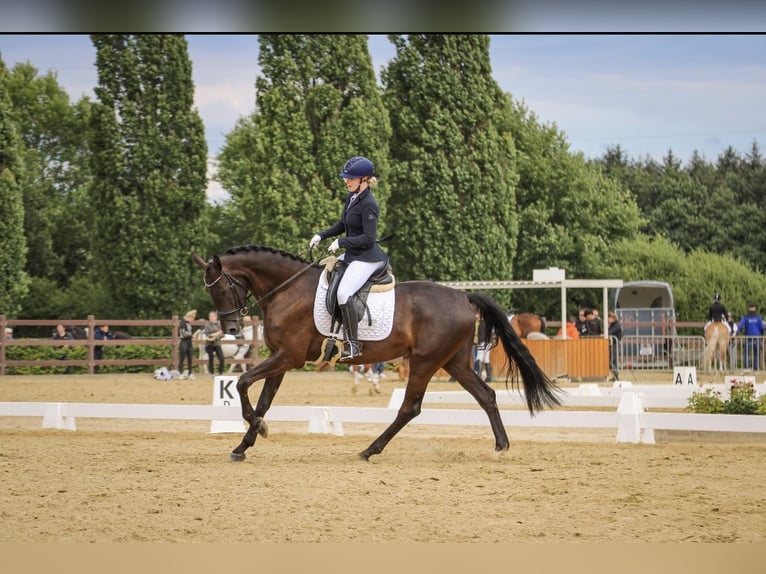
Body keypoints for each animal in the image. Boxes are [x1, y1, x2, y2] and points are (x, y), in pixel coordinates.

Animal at [194, 246, 564, 464]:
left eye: (222, 287)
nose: (230, 327)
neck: (288, 289)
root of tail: (463, 297)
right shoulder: (281, 359)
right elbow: (264, 401)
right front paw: (244, 445)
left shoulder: (289, 357)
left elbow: (242, 382)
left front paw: (258, 430)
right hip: (454, 362)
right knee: (486, 395)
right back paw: (501, 445)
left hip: (425, 362)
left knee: (410, 408)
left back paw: (369, 449)